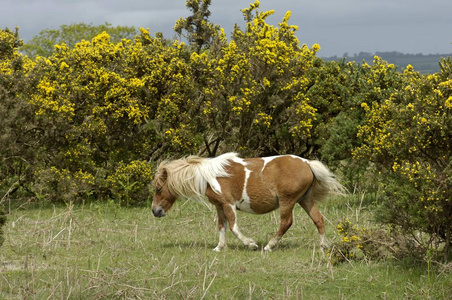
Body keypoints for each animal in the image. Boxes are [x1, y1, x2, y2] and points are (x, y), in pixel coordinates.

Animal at [152, 152, 346, 251]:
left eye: (159, 189)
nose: (155, 211)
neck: (210, 176)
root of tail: (307, 164)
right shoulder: (219, 206)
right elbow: (221, 227)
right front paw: (219, 247)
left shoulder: (228, 204)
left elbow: (233, 227)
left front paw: (250, 244)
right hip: (305, 200)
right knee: (318, 219)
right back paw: (323, 246)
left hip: (287, 201)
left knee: (286, 222)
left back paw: (269, 246)